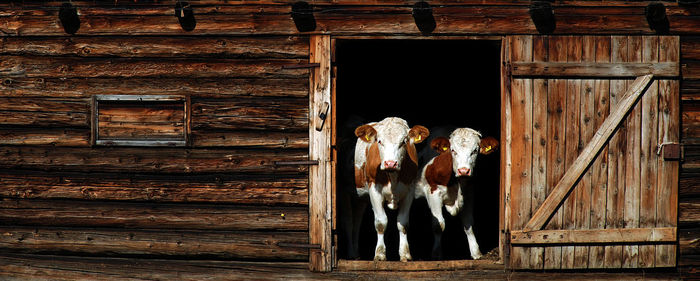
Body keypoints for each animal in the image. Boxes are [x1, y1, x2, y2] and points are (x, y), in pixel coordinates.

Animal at [348, 117, 430, 262]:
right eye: (379, 141)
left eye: (404, 142)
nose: (390, 163)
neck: (393, 177)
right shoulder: (374, 190)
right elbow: (381, 222)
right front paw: (380, 254)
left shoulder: (409, 191)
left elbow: (403, 223)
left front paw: (405, 253)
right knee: (348, 222)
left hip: (360, 199)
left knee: (356, 222)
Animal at [416, 128, 498, 260]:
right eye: (453, 150)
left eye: (475, 151)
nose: (463, 171)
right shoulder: (433, 191)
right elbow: (439, 225)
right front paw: (436, 254)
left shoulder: (469, 193)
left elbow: (468, 223)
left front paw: (476, 252)